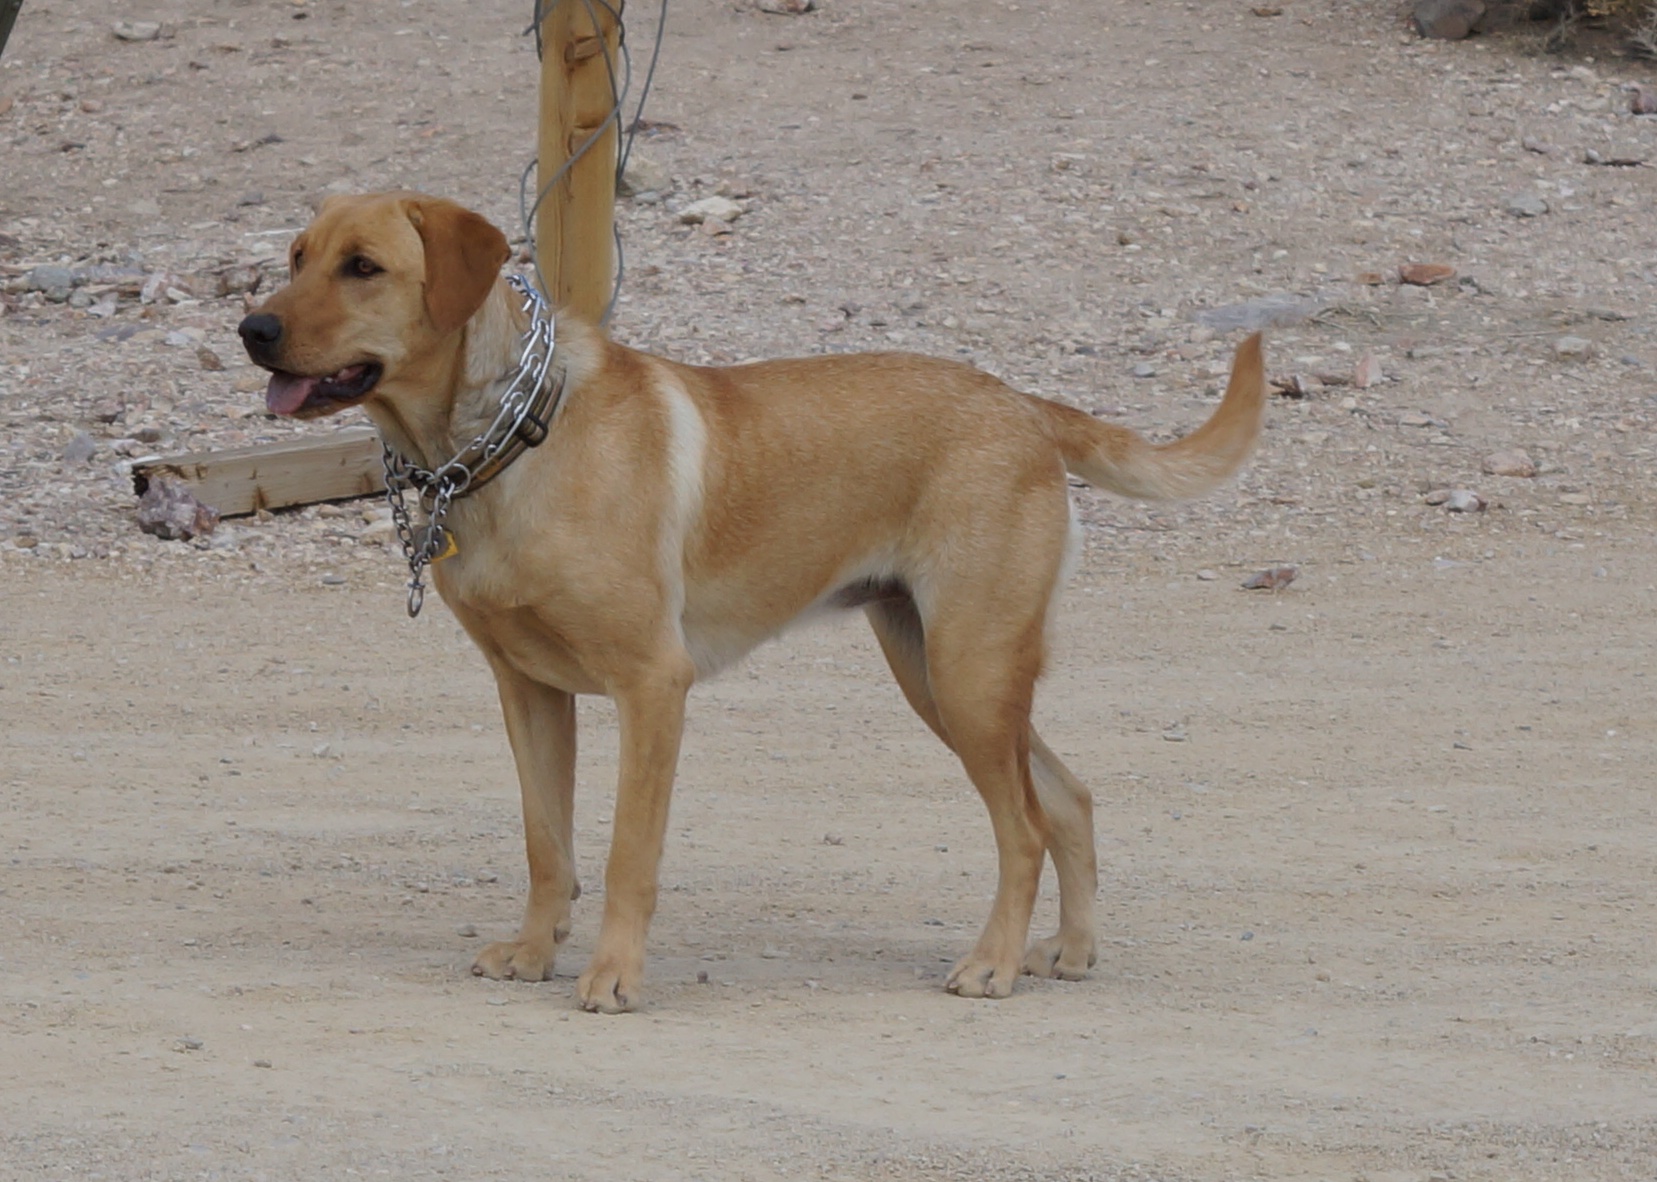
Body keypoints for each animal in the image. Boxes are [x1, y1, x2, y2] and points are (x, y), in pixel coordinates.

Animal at [236, 188, 1265, 1007]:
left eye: (363, 267)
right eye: (295, 258)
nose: (252, 330)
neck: (513, 439)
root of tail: (1022, 405)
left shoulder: (654, 686)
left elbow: (626, 855)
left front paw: (612, 975)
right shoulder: (528, 691)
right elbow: (546, 845)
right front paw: (532, 953)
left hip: (970, 671)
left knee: (1024, 828)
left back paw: (993, 965)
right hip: (944, 675)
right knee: (1068, 799)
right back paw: (1072, 948)